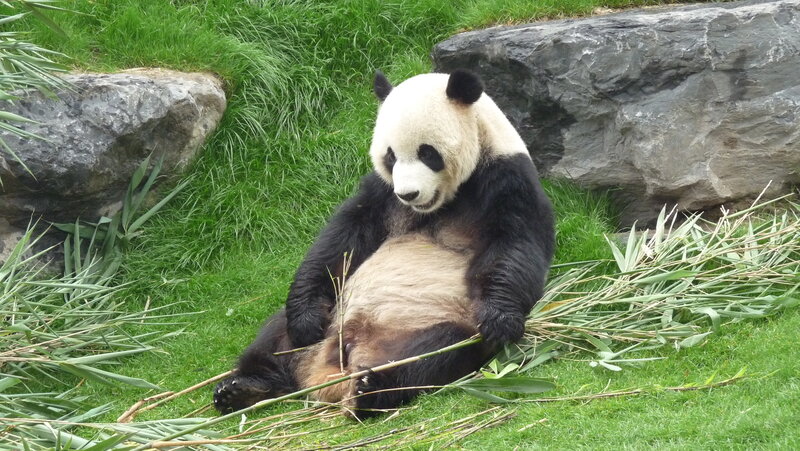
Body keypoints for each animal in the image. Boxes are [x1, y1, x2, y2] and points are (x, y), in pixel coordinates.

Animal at [213, 69, 555, 418]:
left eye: (427, 153)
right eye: (390, 156)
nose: (409, 194)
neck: (442, 202)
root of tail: (330, 373)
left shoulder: (506, 179)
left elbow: (515, 244)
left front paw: (499, 320)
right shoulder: (380, 193)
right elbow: (342, 240)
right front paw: (305, 319)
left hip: (428, 326)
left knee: (437, 353)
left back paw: (372, 388)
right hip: (327, 321)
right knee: (275, 337)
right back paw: (244, 388)